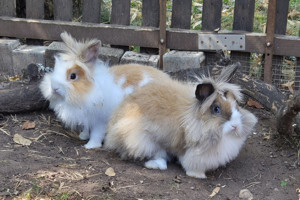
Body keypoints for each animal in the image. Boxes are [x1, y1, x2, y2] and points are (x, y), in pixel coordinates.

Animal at [39, 32, 170, 149]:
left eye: (73, 76)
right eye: (56, 69)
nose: (54, 87)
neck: (91, 90)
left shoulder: (100, 119)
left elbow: (96, 133)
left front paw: (91, 146)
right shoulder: (87, 115)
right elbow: (86, 127)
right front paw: (83, 136)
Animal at [104, 65, 256, 179]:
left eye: (236, 105)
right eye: (216, 109)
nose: (236, 126)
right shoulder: (192, 151)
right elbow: (190, 162)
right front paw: (198, 175)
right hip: (141, 140)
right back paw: (156, 164)